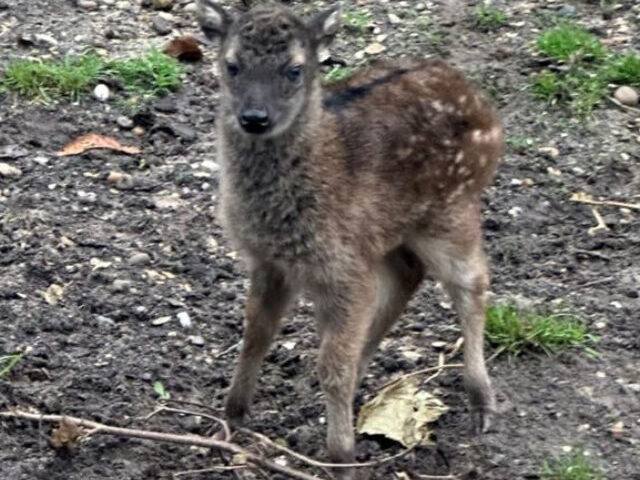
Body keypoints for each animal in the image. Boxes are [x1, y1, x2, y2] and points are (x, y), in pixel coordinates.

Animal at [198, 1, 502, 476]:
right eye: (231, 65)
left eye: (295, 69)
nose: (254, 118)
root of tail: (484, 107)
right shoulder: (269, 261)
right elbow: (256, 335)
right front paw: (229, 421)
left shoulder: (342, 268)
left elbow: (331, 366)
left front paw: (340, 458)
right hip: (393, 234)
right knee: (409, 277)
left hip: (450, 210)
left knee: (470, 282)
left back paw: (481, 405)